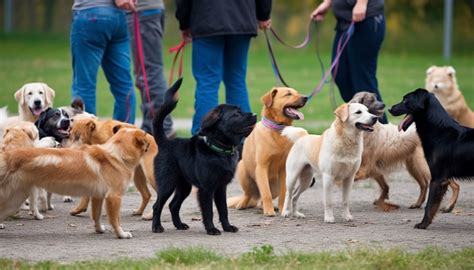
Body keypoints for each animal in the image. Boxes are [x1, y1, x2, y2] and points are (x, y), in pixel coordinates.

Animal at [0, 127, 150, 237]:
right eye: (146, 137)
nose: (151, 141)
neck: (117, 155)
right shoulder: (114, 197)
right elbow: (115, 220)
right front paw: (122, 234)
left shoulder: (98, 196)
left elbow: (96, 216)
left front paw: (99, 230)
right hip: (13, 199)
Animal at [151, 78, 256, 236]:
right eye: (236, 113)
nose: (255, 115)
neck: (219, 151)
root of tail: (165, 142)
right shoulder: (206, 189)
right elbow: (208, 211)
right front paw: (211, 229)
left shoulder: (221, 187)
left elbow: (223, 210)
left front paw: (227, 227)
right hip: (167, 184)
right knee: (157, 205)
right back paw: (157, 227)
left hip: (184, 186)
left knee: (173, 205)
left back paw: (179, 225)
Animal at [228, 87, 310, 216]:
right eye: (288, 94)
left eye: (296, 92)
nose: (306, 97)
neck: (278, 130)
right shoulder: (262, 166)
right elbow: (266, 193)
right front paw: (269, 211)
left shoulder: (284, 170)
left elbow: (283, 194)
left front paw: (282, 209)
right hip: (243, 173)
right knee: (248, 195)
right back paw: (242, 205)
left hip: (275, 186)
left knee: (261, 199)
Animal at [388, 89, 474, 229]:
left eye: (405, 100)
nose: (389, 108)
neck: (441, 134)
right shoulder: (442, 179)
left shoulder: (437, 179)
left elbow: (429, 205)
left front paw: (423, 224)